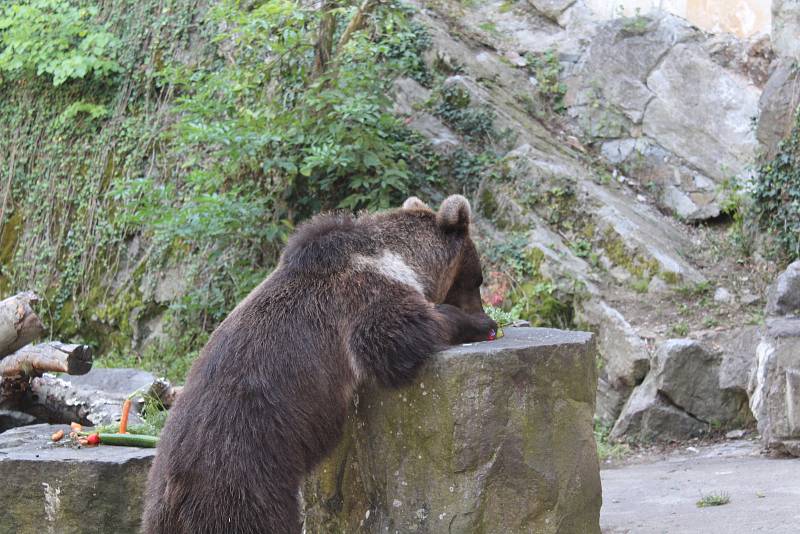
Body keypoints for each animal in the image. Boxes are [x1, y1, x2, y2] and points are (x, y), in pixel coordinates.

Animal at [141, 195, 496, 532]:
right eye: (478, 278)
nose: (481, 309)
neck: (396, 258)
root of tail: (172, 488)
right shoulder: (360, 297)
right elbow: (398, 335)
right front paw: (476, 324)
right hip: (242, 481)